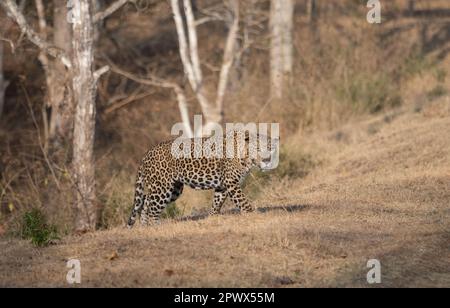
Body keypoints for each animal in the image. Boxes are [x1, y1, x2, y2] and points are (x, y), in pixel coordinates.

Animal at [126, 131, 280, 227]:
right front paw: (255, 215)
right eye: (258, 148)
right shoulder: (231, 183)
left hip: (174, 189)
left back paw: (145, 226)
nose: (267, 160)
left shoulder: (223, 185)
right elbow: (243, 201)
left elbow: (217, 202)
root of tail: (146, 154)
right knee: (152, 207)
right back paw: (156, 226)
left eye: (270, 148)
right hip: (163, 188)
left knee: (146, 201)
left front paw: (212, 217)